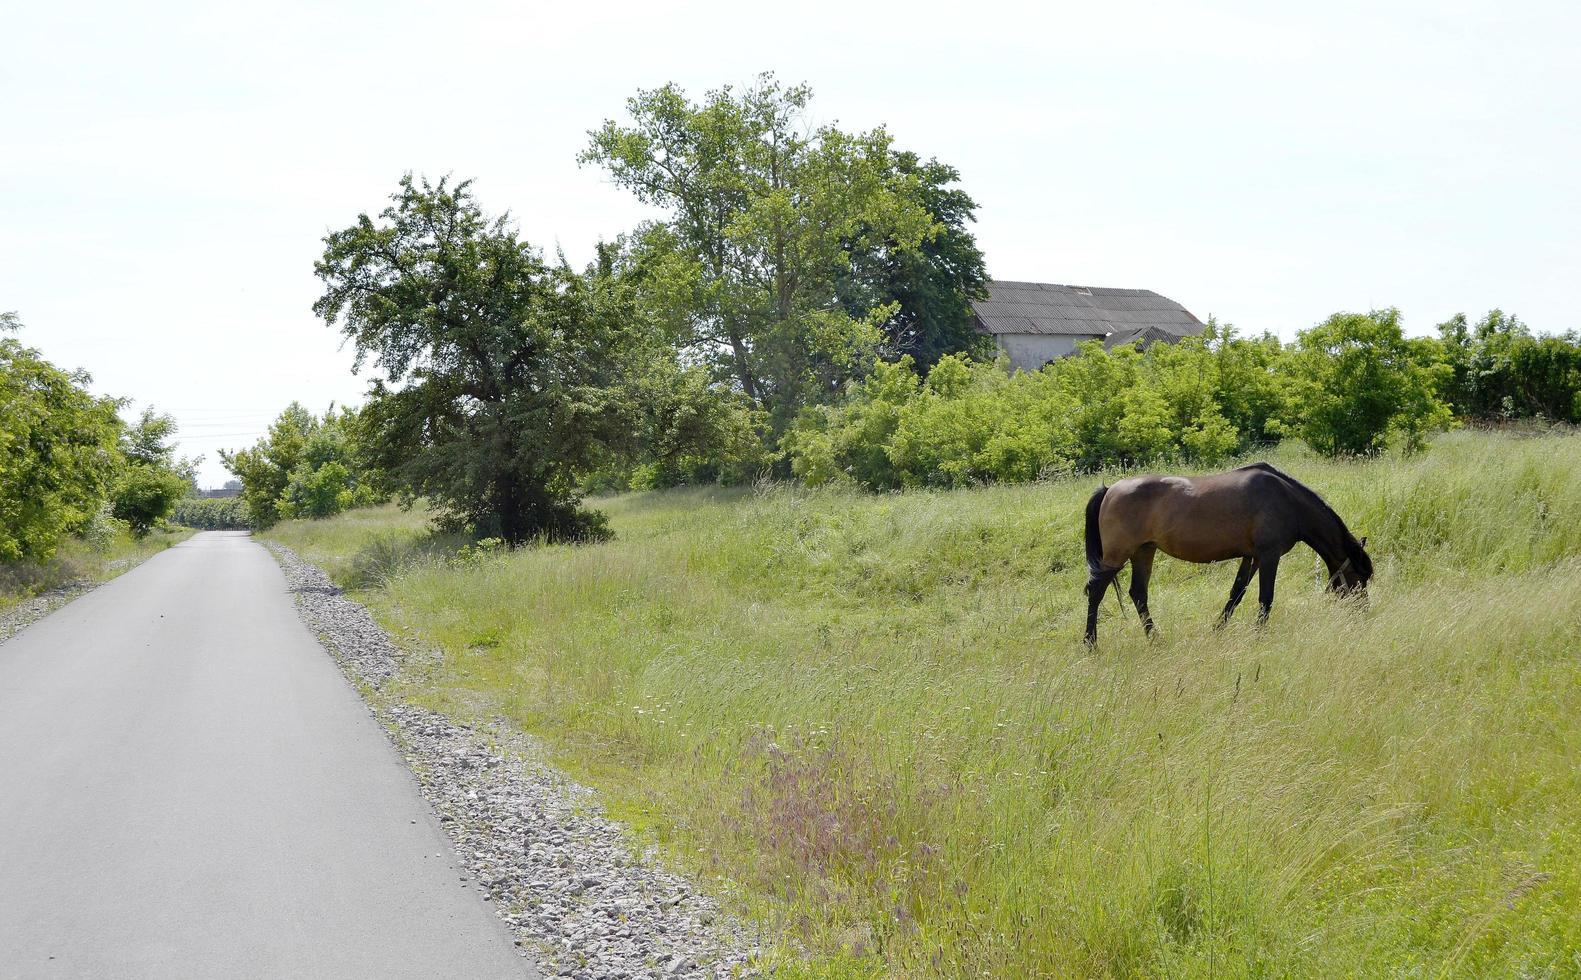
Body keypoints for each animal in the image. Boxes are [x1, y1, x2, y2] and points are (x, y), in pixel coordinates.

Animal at [1087, 464, 1372, 648]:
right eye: (1360, 576)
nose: (1363, 612)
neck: (1288, 501)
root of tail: (1110, 489)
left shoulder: (1252, 557)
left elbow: (1236, 593)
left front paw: (1218, 630)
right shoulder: (1269, 555)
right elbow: (1265, 598)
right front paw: (1259, 636)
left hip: (1144, 551)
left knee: (1138, 594)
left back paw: (1156, 639)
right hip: (1117, 555)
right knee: (1096, 592)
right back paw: (1091, 643)